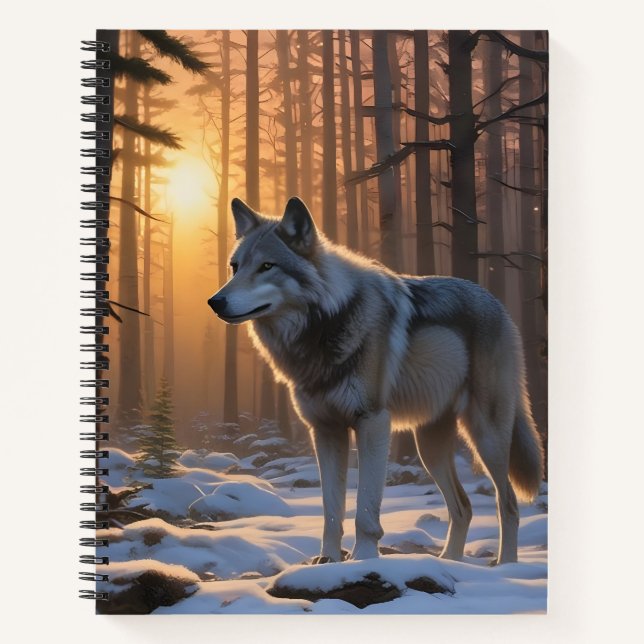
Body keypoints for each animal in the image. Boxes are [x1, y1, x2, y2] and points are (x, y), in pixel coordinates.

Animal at [208, 196, 544, 565]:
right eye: (235, 266)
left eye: (267, 266)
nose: (215, 301)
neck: (325, 326)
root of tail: (497, 302)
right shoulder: (325, 431)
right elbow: (331, 510)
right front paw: (328, 560)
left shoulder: (372, 422)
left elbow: (365, 509)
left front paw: (364, 558)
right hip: (429, 447)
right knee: (464, 507)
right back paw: (449, 561)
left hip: (486, 437)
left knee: (508, 502)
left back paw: (504, 565)